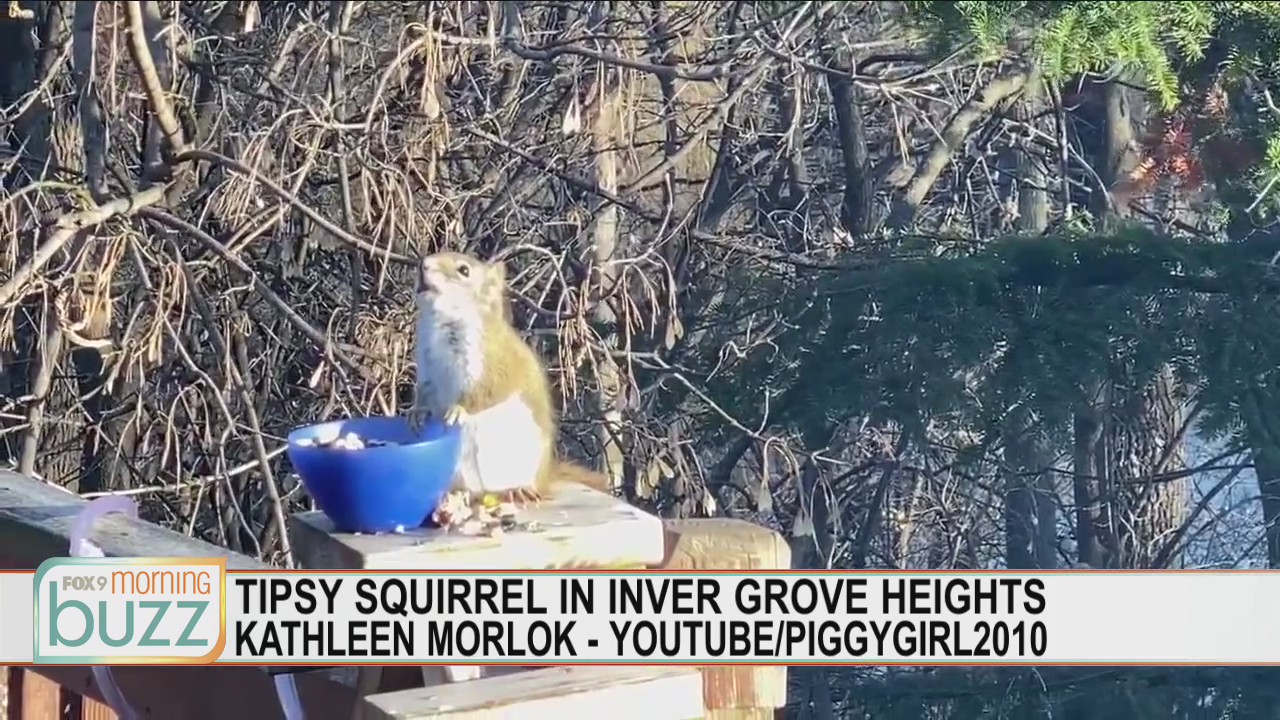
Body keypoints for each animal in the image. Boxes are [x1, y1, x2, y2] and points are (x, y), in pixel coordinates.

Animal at [407, 251, 609, 505]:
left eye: (464, 270)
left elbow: (487, 390)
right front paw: (416, 412)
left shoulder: (492, 362)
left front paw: (458, 409)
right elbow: (424, 390)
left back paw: (517, 490)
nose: (423, 265)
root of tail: (545, 477)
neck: (442, 323)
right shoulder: (427, 365)